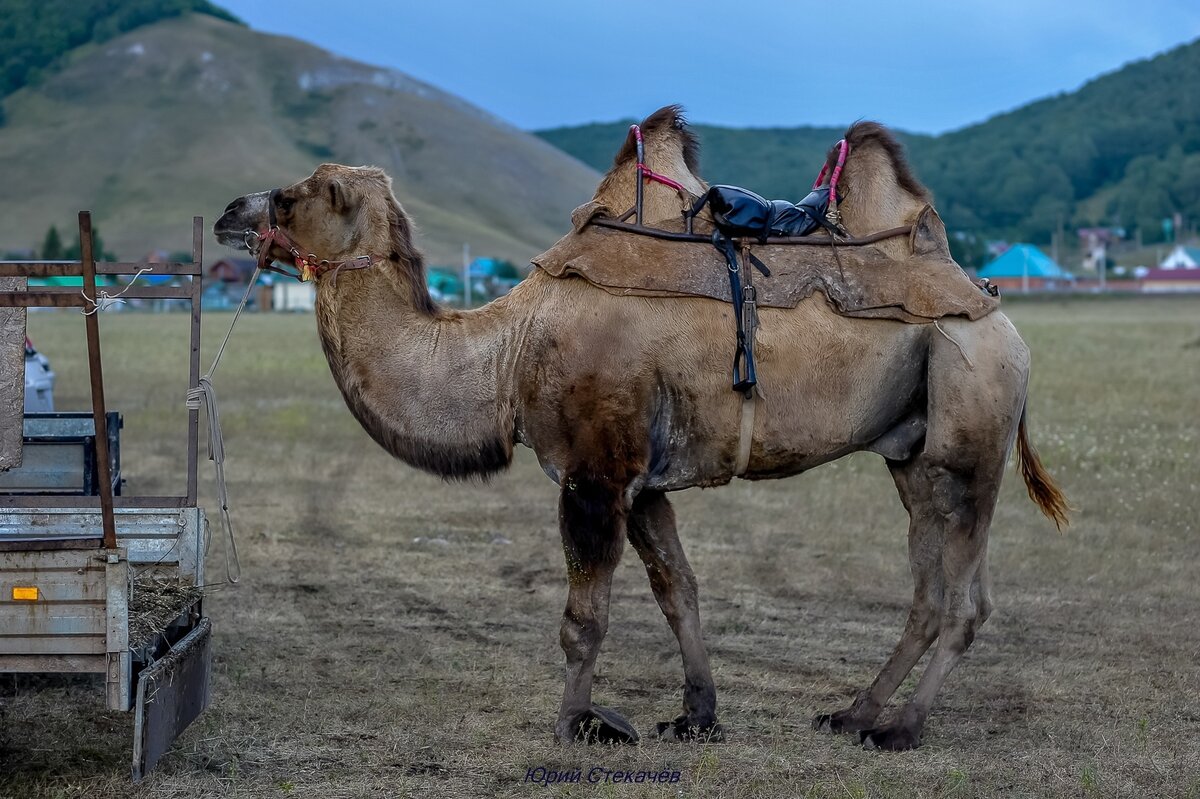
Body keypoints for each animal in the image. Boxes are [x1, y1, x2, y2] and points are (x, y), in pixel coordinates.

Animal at [216, 104, 1070, 748]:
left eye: (296, 194)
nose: (230, 211)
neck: (509, 349)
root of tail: (1002, 317)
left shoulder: (594, 471)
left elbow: (583, 618)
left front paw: (576, 724)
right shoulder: (643, 479)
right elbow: (677, 589)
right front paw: (696, 714)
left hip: (970, 423)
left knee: (960, 599)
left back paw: (901, 728)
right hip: (914, 452)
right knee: (933, 586)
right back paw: (853, 712)